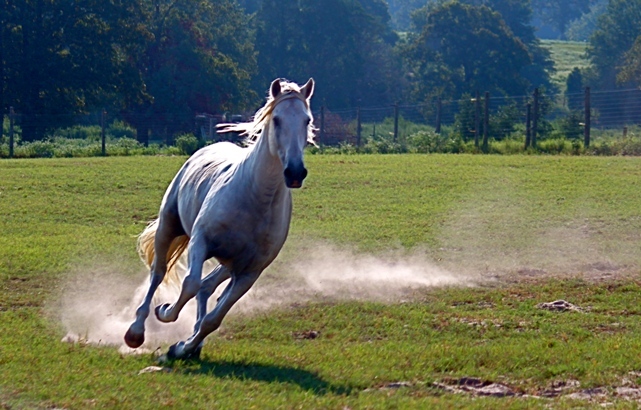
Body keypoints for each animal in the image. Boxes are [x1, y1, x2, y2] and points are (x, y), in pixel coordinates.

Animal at [124, 78, 315, 359]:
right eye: (277, 119)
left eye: (306, 120)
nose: (294, 172)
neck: (255, 198)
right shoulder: (200, 241)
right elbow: (189, 285)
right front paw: (166, 312)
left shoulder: (249, 272)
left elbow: (214, 318)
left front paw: (183, 347)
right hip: (168, 227)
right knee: (158, 273)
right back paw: (136, 331)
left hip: (229, 264)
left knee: (206, 287)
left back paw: (192, 345)